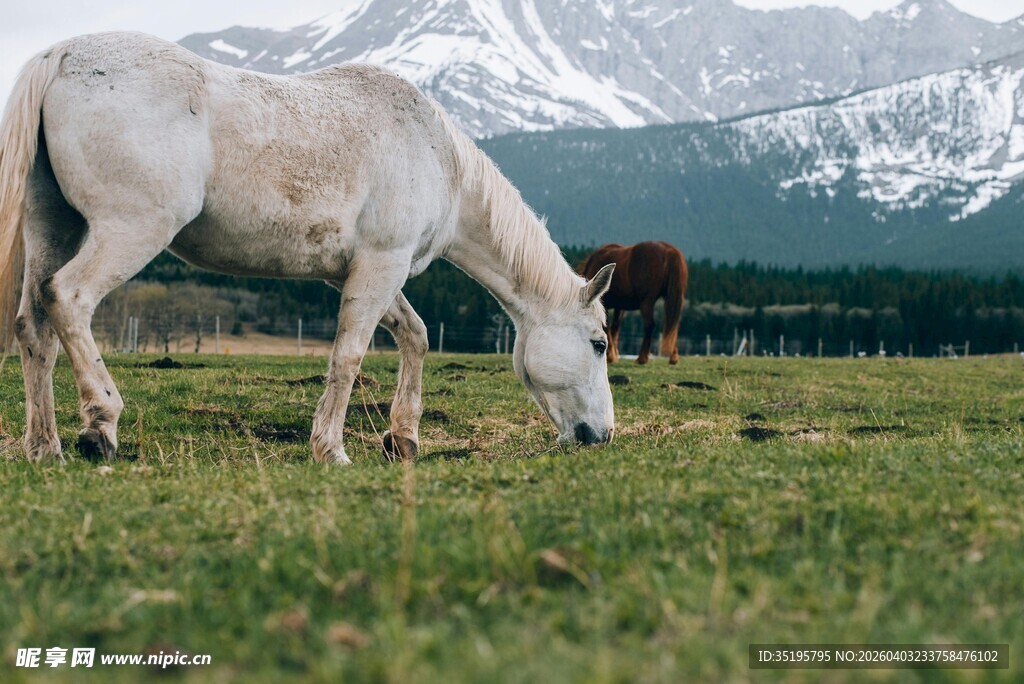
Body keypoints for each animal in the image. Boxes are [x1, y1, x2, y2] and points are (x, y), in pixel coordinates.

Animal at [0, 32, 617, 464]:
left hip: (55, 228)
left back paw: (45, 447)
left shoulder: (365, 271)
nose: (603, 435)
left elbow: (415, 337)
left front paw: (403, 438)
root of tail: (61, 53)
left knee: (34, 325)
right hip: (130, 231)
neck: (437, 155)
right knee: (69, 298)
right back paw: (100, 426)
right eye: (599, 344)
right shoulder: (381, 265)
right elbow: (348, 356)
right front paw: (331, 449)